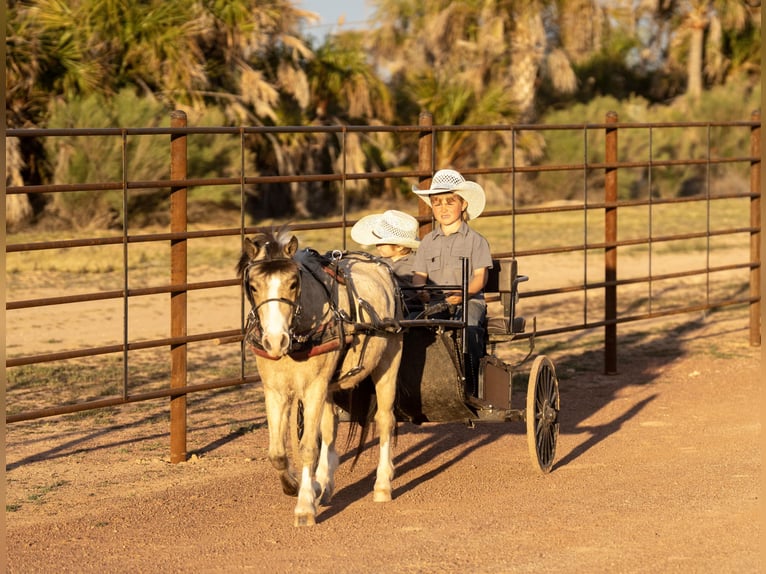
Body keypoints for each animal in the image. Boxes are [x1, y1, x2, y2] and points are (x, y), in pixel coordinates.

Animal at [236, 228, 404, 526]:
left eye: (293, 283)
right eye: (253, 286)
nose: (275, 341)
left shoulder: (313, 387)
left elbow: (307, 448)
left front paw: (304, 507)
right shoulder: (276, 390)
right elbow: (277, 452)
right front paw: (296, 486)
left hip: (389, 360)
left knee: (385, 420)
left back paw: (383, 485)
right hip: (329, 385)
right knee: (330, 426)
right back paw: (323, 484)